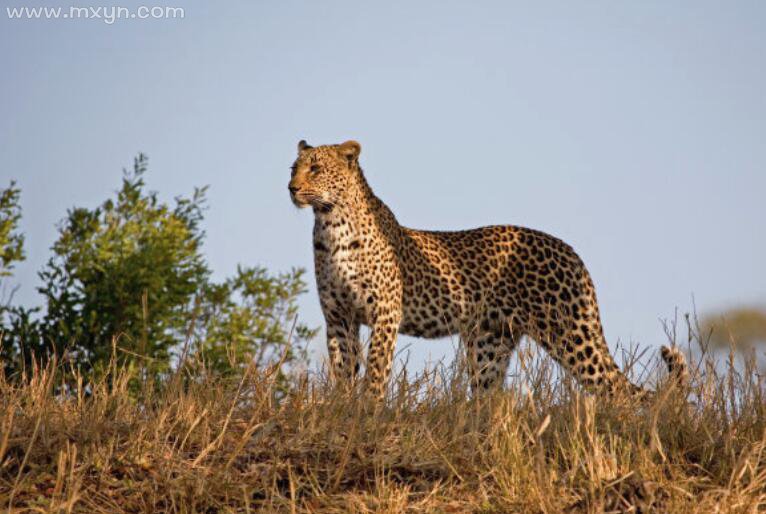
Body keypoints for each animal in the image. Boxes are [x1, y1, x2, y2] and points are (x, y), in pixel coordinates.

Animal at [290, 139, 688, 396]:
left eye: (316, 169)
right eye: (293, 168)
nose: (291, 187)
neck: (330, 224)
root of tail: (570, 251)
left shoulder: (385, 312)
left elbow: (375, 371)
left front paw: (369, 413)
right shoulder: (338, 316)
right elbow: (343, 370)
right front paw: (343, 412)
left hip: (569, 331)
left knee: (615, 390)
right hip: (489, 342)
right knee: (490, 398)